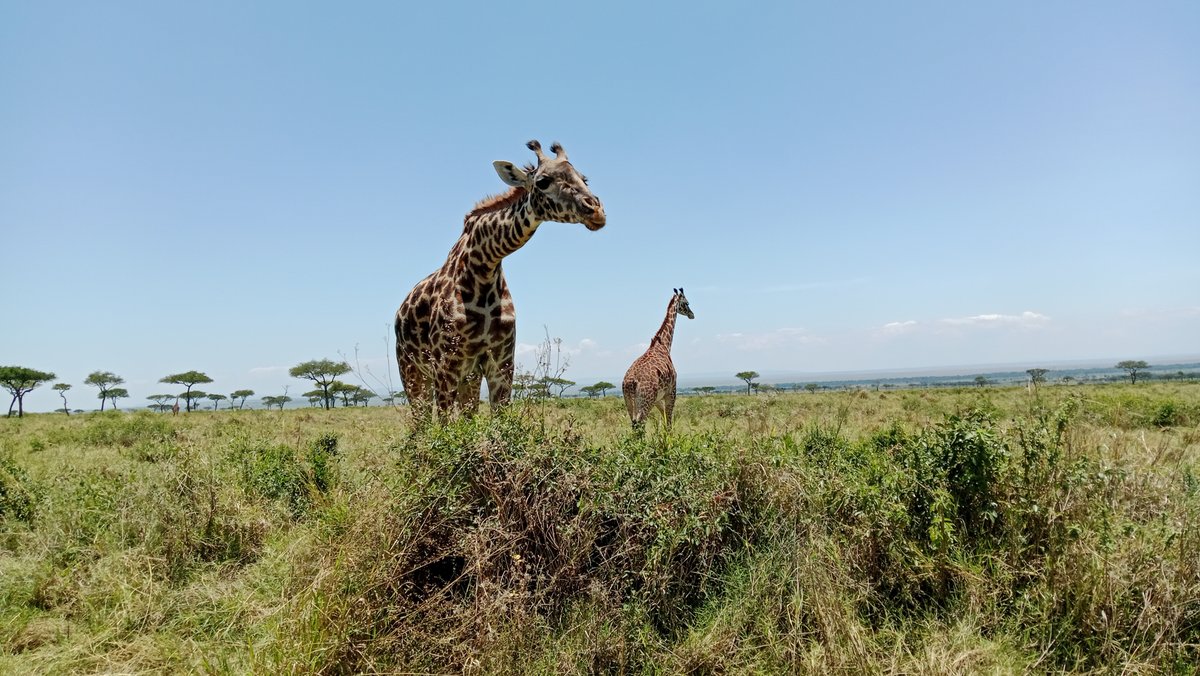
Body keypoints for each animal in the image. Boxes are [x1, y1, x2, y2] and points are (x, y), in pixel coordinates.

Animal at [395, 140, 606, 419]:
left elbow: (500, 420)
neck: (483, 269)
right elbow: (446, 425)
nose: (596, 211)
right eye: (542, 181)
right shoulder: (445, 364)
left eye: (584, 178)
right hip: (412, 370)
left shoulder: (501, 361)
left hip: (468, 376)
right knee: (421, 421)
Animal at [622, 288, 694, 431]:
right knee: (640, 425)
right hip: (645, 402)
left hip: (629, 402)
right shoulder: (671, 391)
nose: (692, 314)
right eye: (687, 303)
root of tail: (630, 383)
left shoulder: (658, 399)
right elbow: (669, 423)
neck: (664, 344)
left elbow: (665, 421)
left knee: (635, 425)